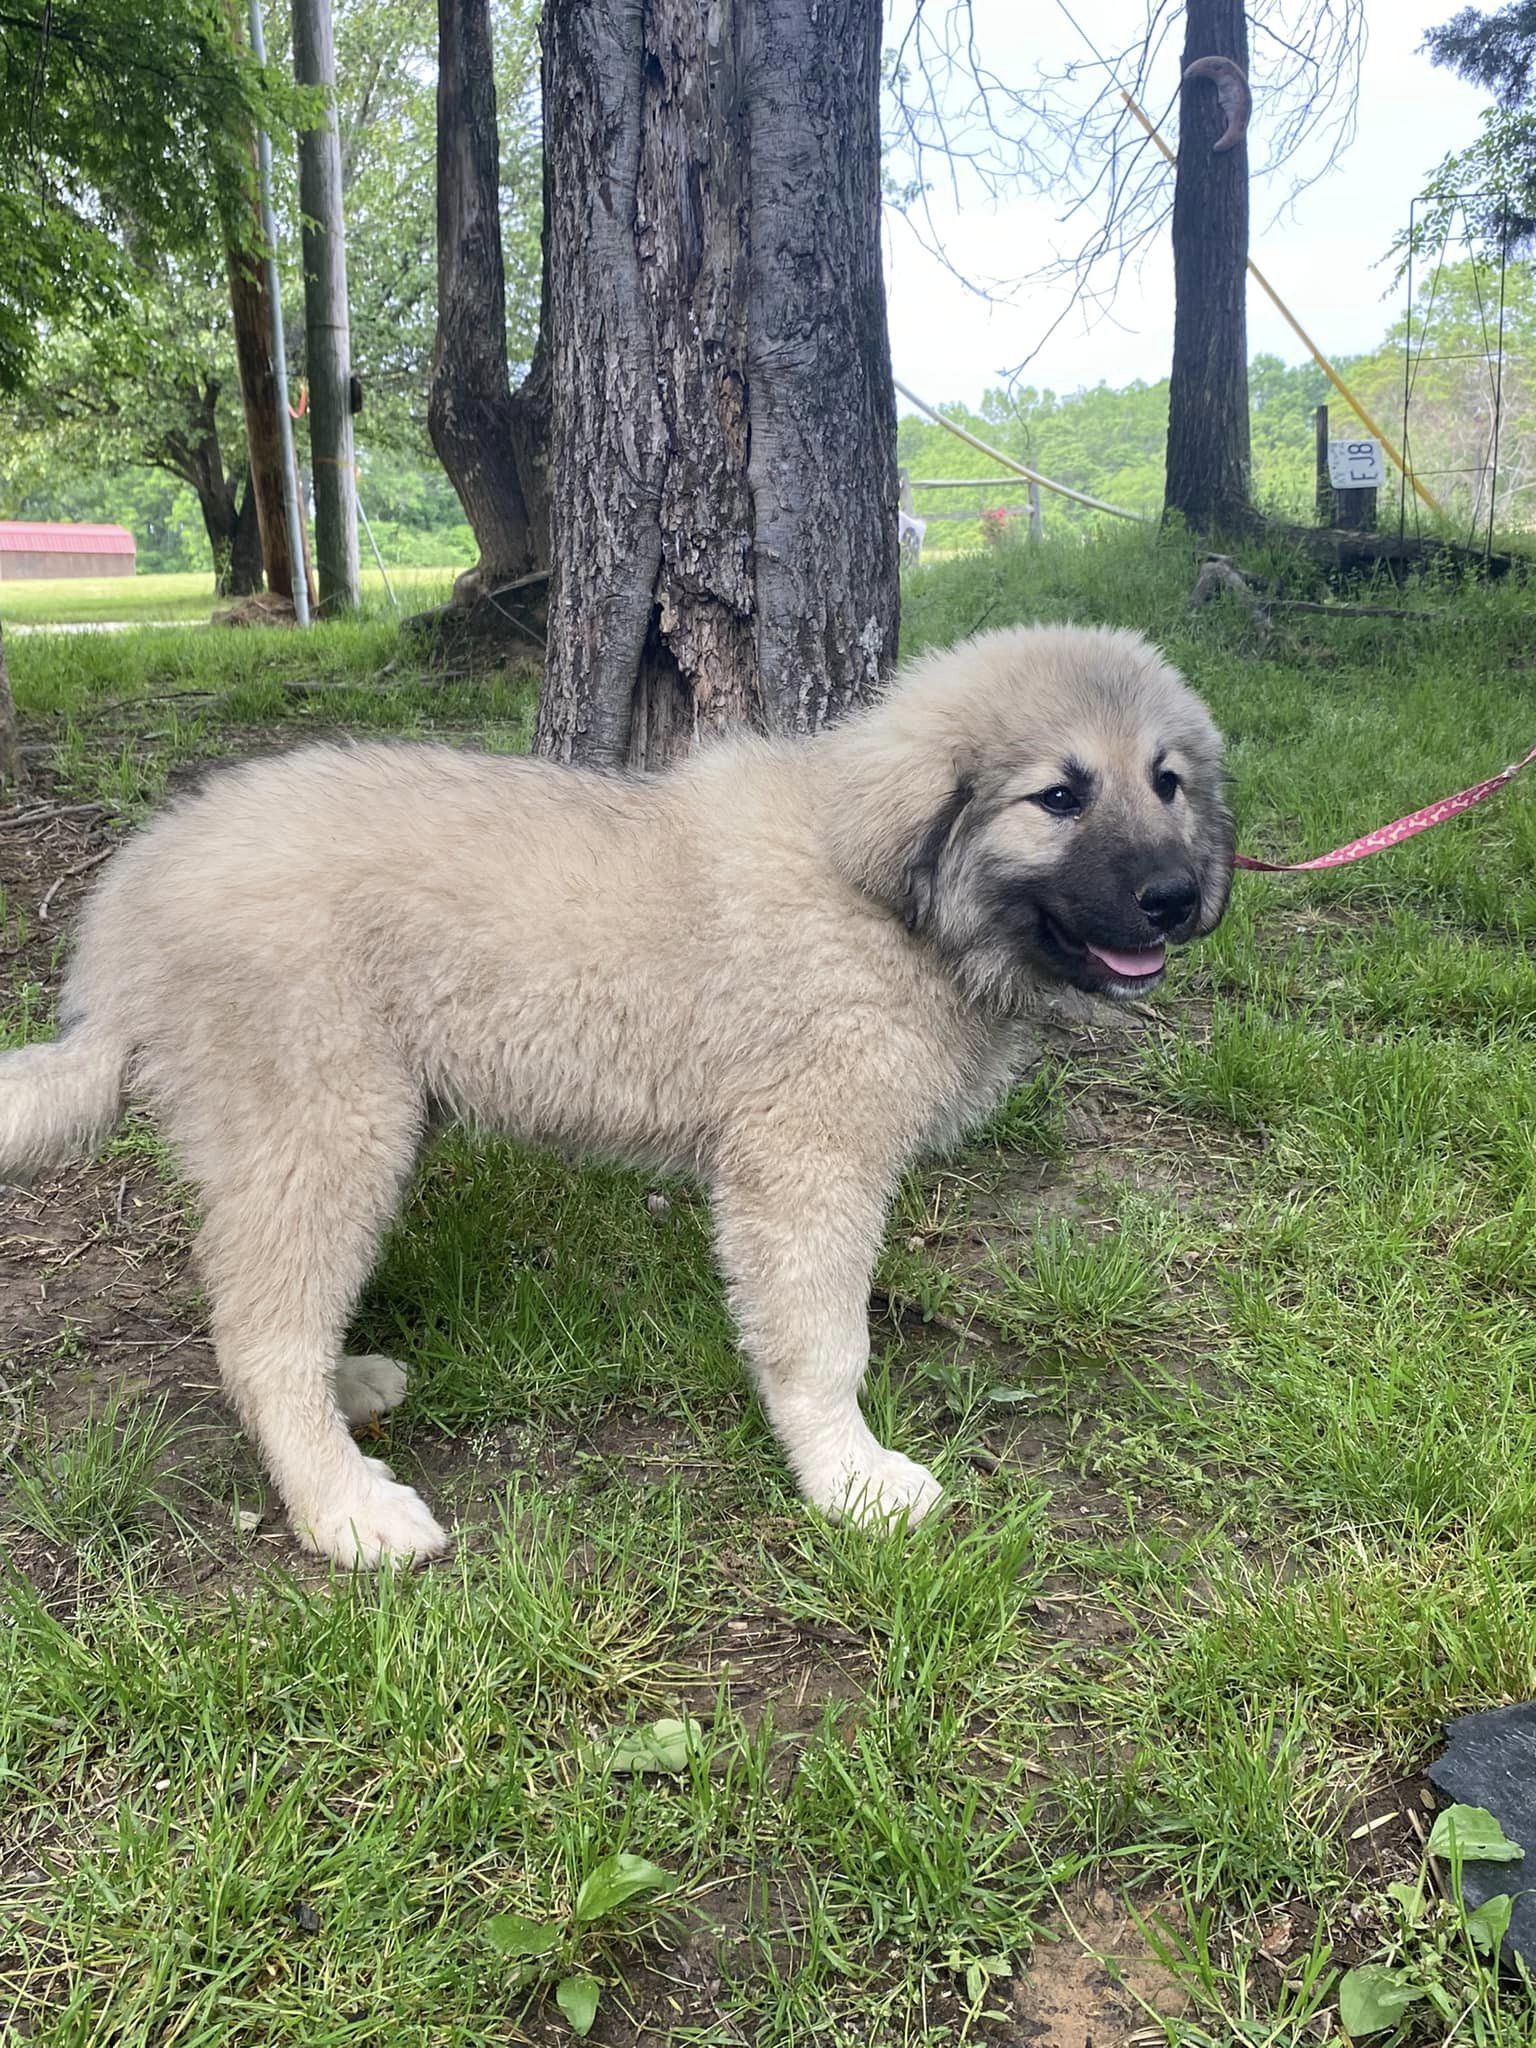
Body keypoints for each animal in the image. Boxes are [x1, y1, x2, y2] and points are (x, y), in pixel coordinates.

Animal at [0, 622, 1236, 1564]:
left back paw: (347, 1387)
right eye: (1060, 796)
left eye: (1167, 782)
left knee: (269, 1315)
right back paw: (345, 1508)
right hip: (326, 1123)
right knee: (260, 1335)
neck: (891, 899)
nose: (1180, 898)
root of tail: (128, 906)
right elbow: (823, 1344)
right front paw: (851, 1479)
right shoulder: (804, 1163)